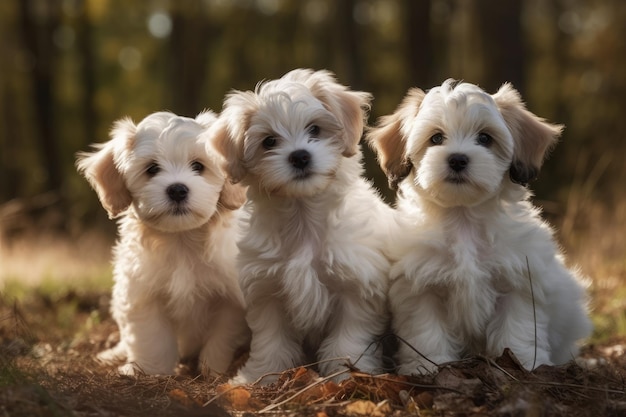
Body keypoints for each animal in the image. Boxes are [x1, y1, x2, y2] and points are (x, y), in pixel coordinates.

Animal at [75, 110, 246, 376]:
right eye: (152, 169)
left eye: (198, 166)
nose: (177, 190)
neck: (181, 239)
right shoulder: (143, 294)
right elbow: (153, 338)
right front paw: (150, 371)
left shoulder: (230, 299)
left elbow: (221, 337)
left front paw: (212, 370)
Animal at [212, 68, 392, 384]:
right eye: (269, 141)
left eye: (315, 129)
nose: (299, 156)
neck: (303, 214)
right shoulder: (267, 290)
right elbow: (271, 340)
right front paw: (260, 376)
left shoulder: (357, 286)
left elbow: (348, 337)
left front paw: (347, 374)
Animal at [368, 79, 592, 372]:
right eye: (436, 138)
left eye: (485, 138)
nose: (458, 159)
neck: (464, 218)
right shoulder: (421, 286)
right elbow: (427, 329)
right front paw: (429, 364)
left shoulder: (518, 280)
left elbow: (516, 327)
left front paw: (522, 364)